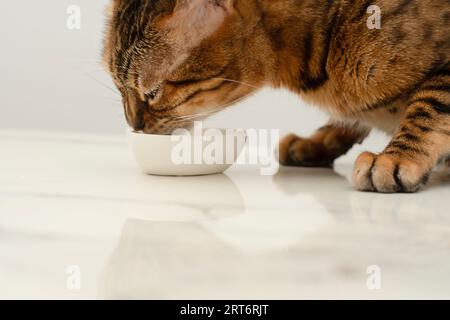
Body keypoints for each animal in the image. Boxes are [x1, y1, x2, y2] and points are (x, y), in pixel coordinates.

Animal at [103, 0, 450, 192]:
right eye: (118, 87)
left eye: (152, 93)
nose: (133, 124)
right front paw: (319, 140)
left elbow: (428, 109)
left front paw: (398, 157)